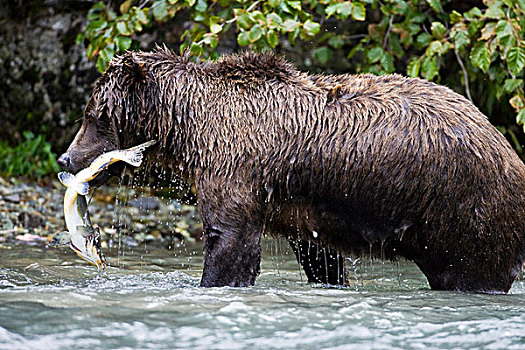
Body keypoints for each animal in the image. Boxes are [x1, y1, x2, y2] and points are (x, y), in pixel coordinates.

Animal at [59, 46, 524, 292]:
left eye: (94, 117)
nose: (66, 159)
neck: (190, 124)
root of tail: (505, 146)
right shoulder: (299, 207)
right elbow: (318, 253)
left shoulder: (236, 165)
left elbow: (229, 238)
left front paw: (213, 281)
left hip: (464, 209)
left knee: (472, 269)